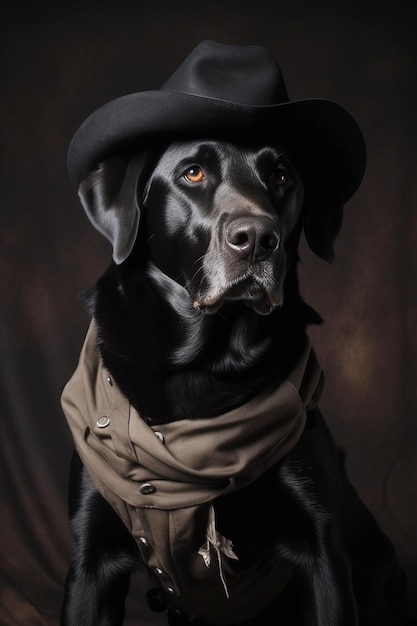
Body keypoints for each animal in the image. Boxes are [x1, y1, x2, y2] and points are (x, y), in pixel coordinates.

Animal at [61, 139, 410, 620]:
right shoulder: (91, 559)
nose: (259, 240)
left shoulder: (323, 553)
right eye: (192, 172)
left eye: (281, 176)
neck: (205, 369)